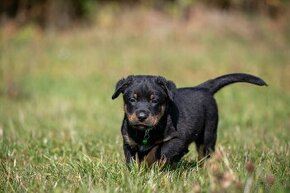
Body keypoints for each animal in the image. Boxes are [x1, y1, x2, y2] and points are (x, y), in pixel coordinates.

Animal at [111, 73, 268, 167]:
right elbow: (131, 159)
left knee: (205, 152)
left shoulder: (177, 139)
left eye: (154, 100)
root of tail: (203, 88)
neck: (145, 132)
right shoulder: (128, 142)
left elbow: (157, 151)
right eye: (132, 99)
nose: (142, 116)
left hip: (208, 134)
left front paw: (148, 164)